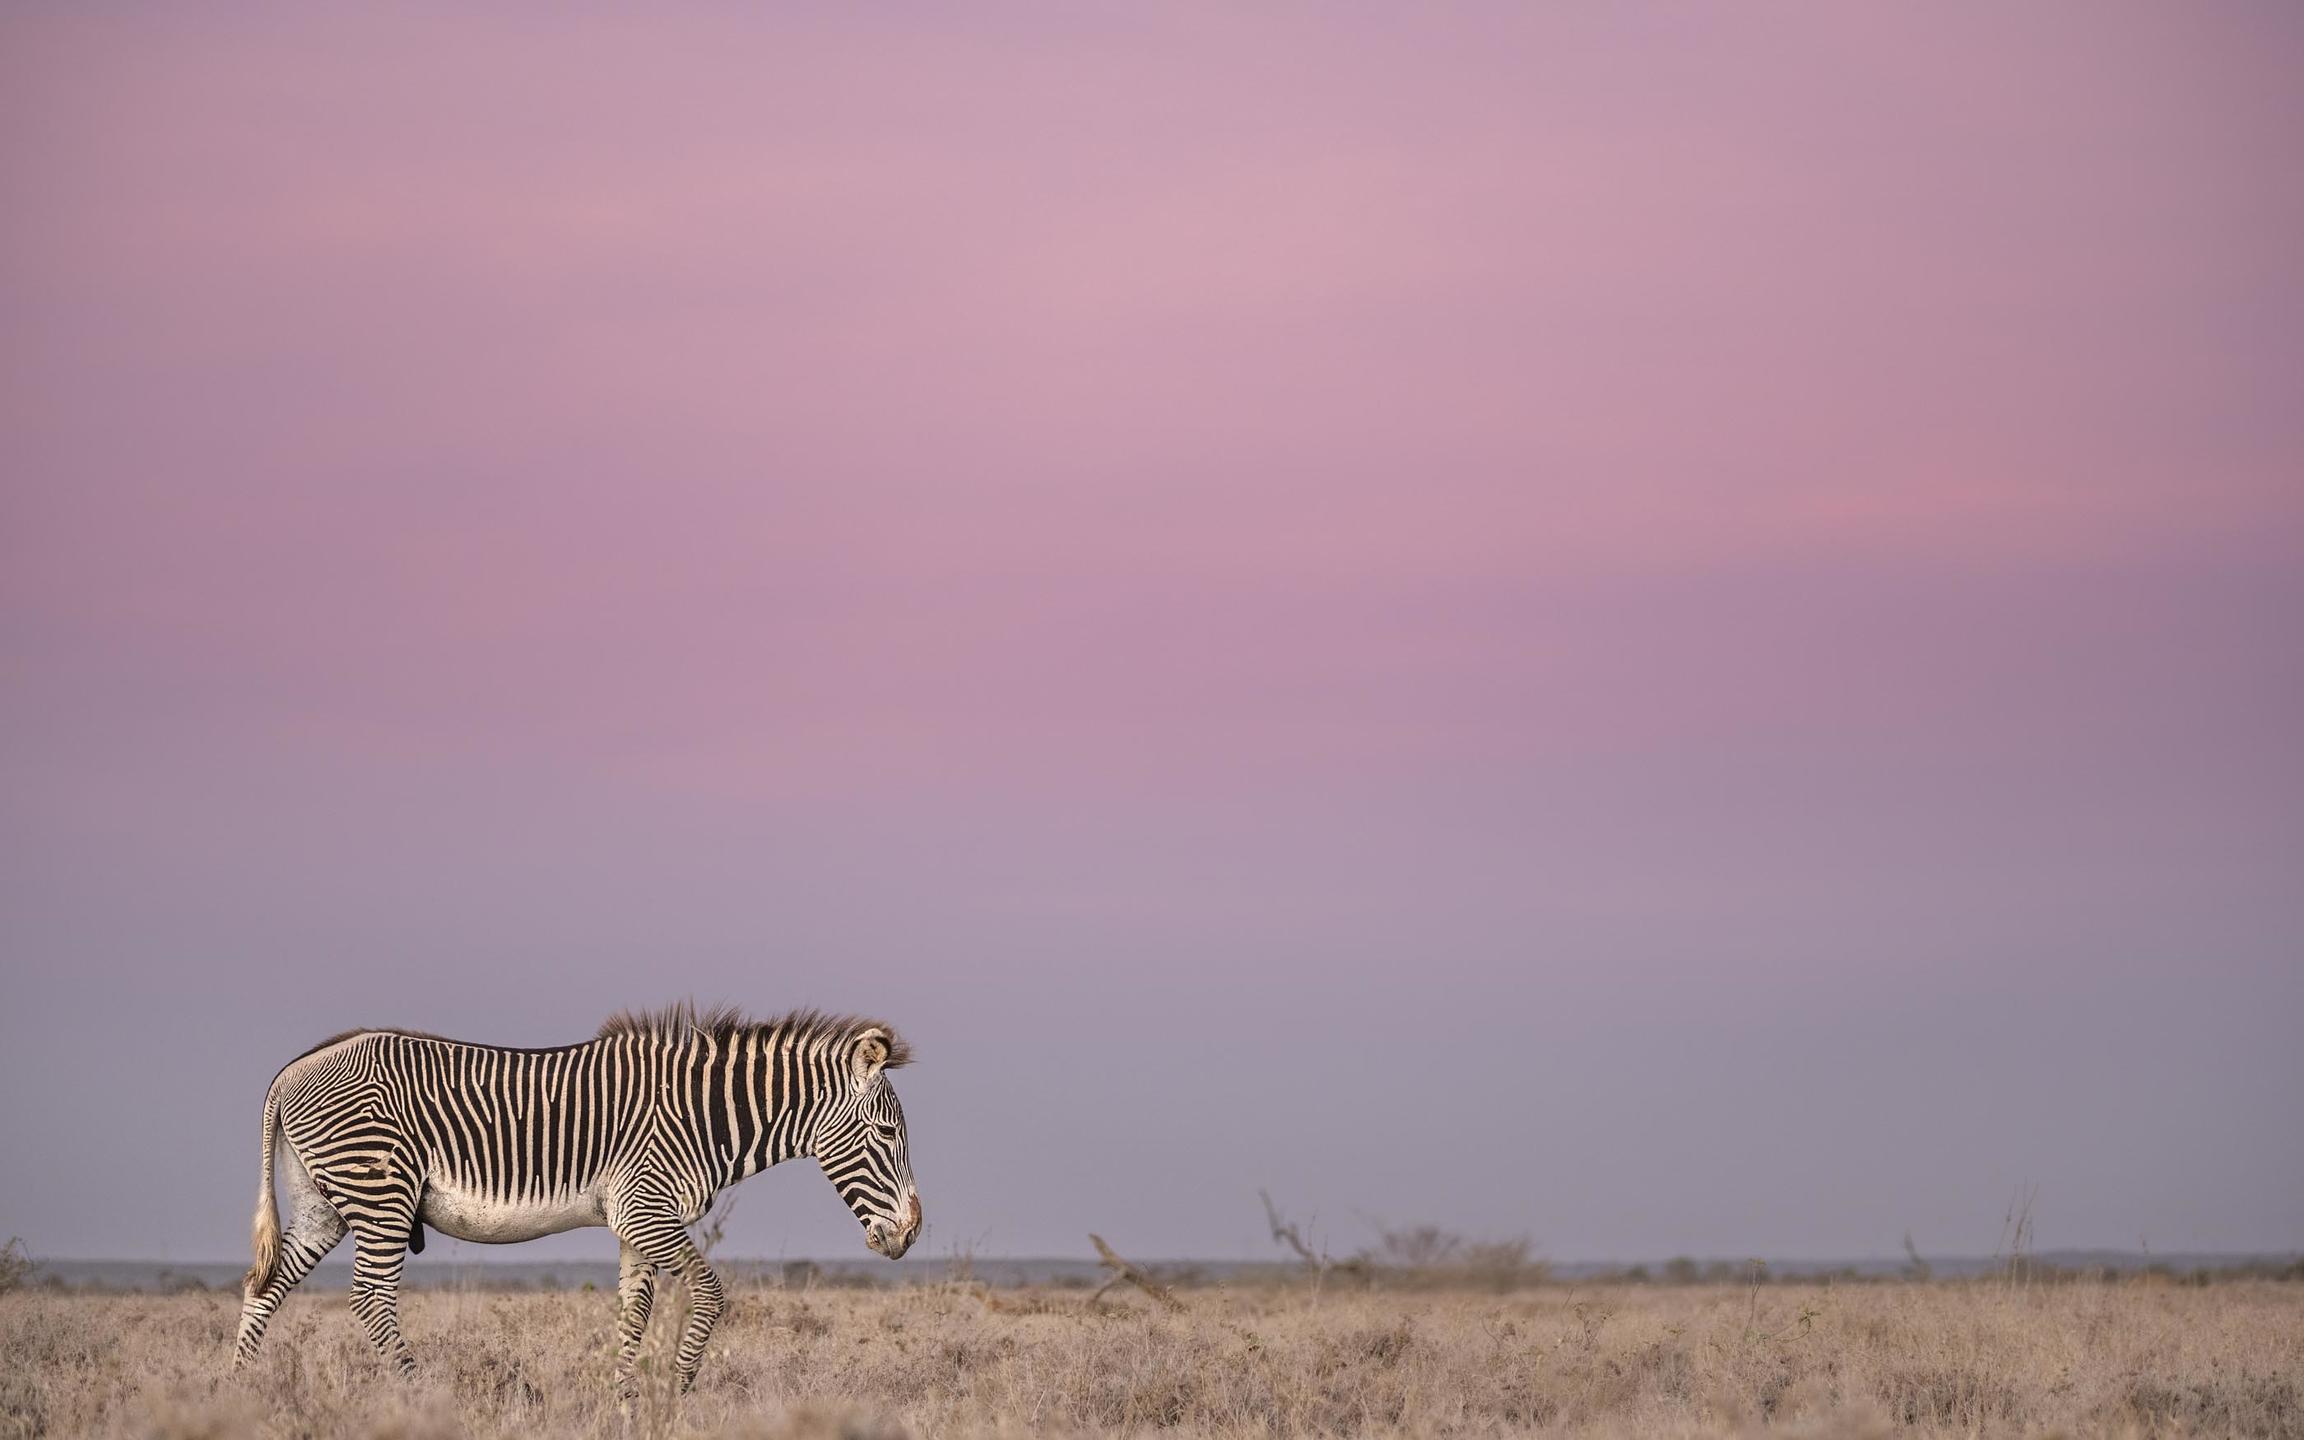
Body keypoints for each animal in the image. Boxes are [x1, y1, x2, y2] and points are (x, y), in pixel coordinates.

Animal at [232, 1004, 921, 1393]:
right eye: (889, 1134)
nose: (912, 1233)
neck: (699, 1116)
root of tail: (292, 1071)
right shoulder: (648, 1210)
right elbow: (709, 1293)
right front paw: (679, 1392)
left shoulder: (637, 1222)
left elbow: (634, 1313)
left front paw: (625, 1402)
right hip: (381, 1195)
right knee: (370, 1299)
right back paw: (419, 1394)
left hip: (323, 1204)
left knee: (264, 1287)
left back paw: (235, 1390)